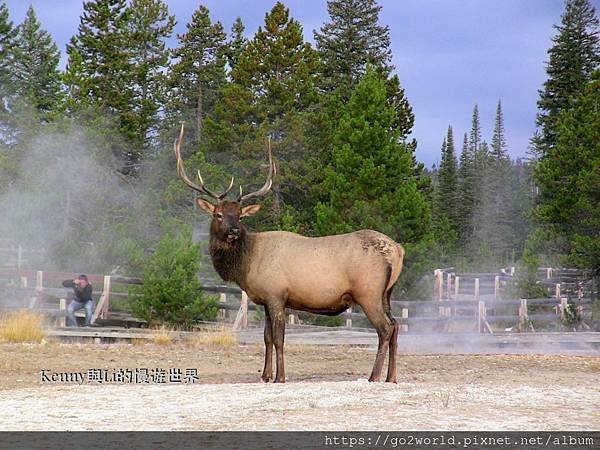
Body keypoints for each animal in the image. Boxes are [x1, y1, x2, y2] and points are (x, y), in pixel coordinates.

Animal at [176, 124, 406, 384]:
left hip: (368, 292)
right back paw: (391, 377)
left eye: (240, 216)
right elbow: (266, 337)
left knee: (385, 328)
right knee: (396, 325)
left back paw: (374, 376)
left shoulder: (277, 294)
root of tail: (398, 250)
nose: (234, 230)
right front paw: (265, 375)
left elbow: (279, 338)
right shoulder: (266, 299)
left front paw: (280, 377)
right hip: (387, 293)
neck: (247, 263)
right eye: (218, 214)